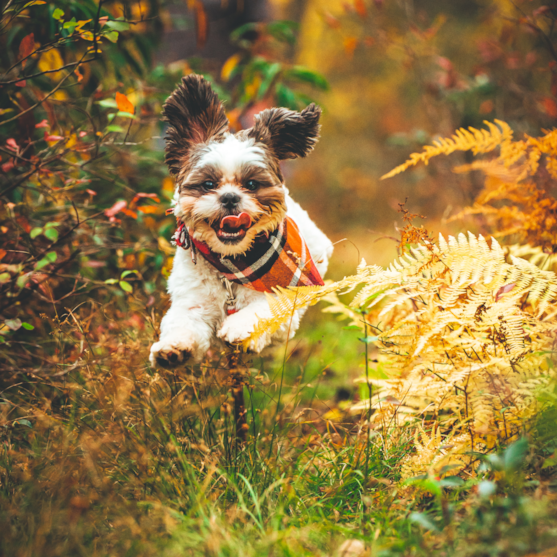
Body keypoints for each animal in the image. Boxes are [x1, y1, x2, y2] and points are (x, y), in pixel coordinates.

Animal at [150, 75, 332, 370]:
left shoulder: (292, 291)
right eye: (208, 184)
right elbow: (183, 322)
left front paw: (239, 328)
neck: (234, 264)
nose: (230, 197)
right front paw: (173, 349)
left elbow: (270, 303)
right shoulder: (193, 301)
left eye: (251, 184)